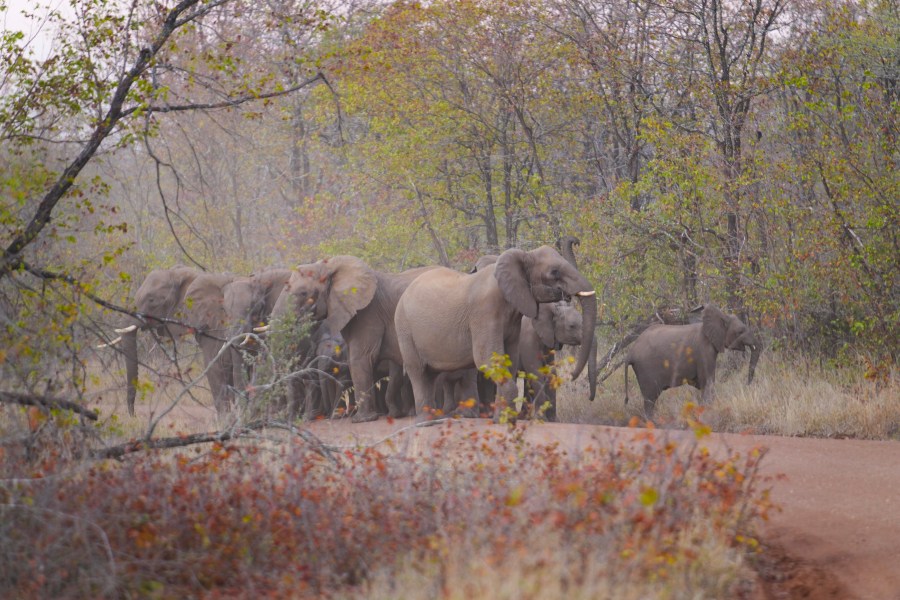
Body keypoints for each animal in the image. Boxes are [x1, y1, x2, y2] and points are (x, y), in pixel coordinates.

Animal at [268, 256, 434, 422]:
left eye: (303, 293)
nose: (326, 416)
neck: (329, 266)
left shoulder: (369, 313)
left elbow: (360, 358)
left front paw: (362, 419)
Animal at [396, 246, 596, 420]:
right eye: (554, 272)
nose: (572, 377)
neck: (523, 255)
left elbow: (510, 360)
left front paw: (503, 418)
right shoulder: (484, 312)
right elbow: (488, 359)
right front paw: (507, 420)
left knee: (431, 375)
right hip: (404, 329)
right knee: (418, 372)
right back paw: (426, 421)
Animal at [624, 302, 764, 414]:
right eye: (740, 331)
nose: (747, 385)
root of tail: (630, 353)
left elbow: (701, 384)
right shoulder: (704, 351)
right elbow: (707, 382)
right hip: (646, 369)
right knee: (650, 400)